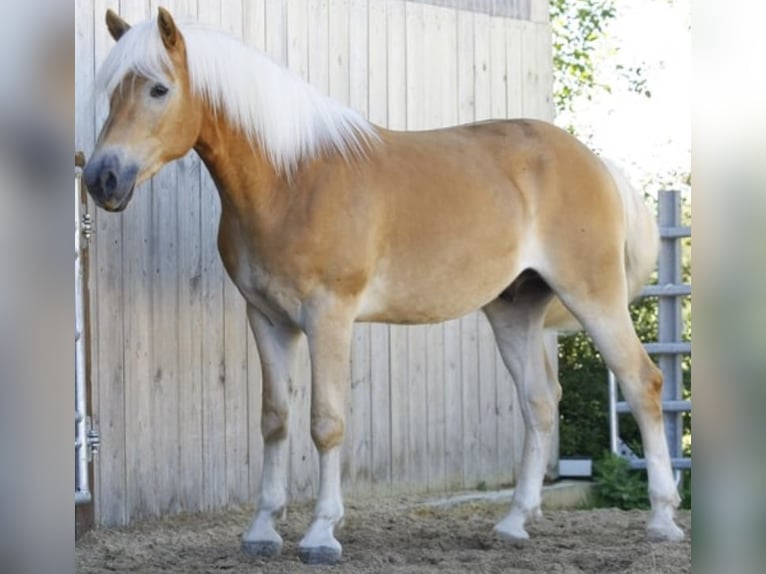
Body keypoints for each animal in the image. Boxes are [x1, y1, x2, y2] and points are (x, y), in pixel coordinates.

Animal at [83, 7, 684, 565]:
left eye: (159, 88)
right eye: (112, 90)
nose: (101, 179)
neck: (291, 181)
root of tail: (596, 163)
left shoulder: (329, 316)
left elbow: (326, 423)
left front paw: (321, 534)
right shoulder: (267, 318)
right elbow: (275, 420)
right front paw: (262, 531)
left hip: (595, 297)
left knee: (643, 383)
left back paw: (662, 519)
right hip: (514, 308)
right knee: (538, 401)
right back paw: (514, 523)